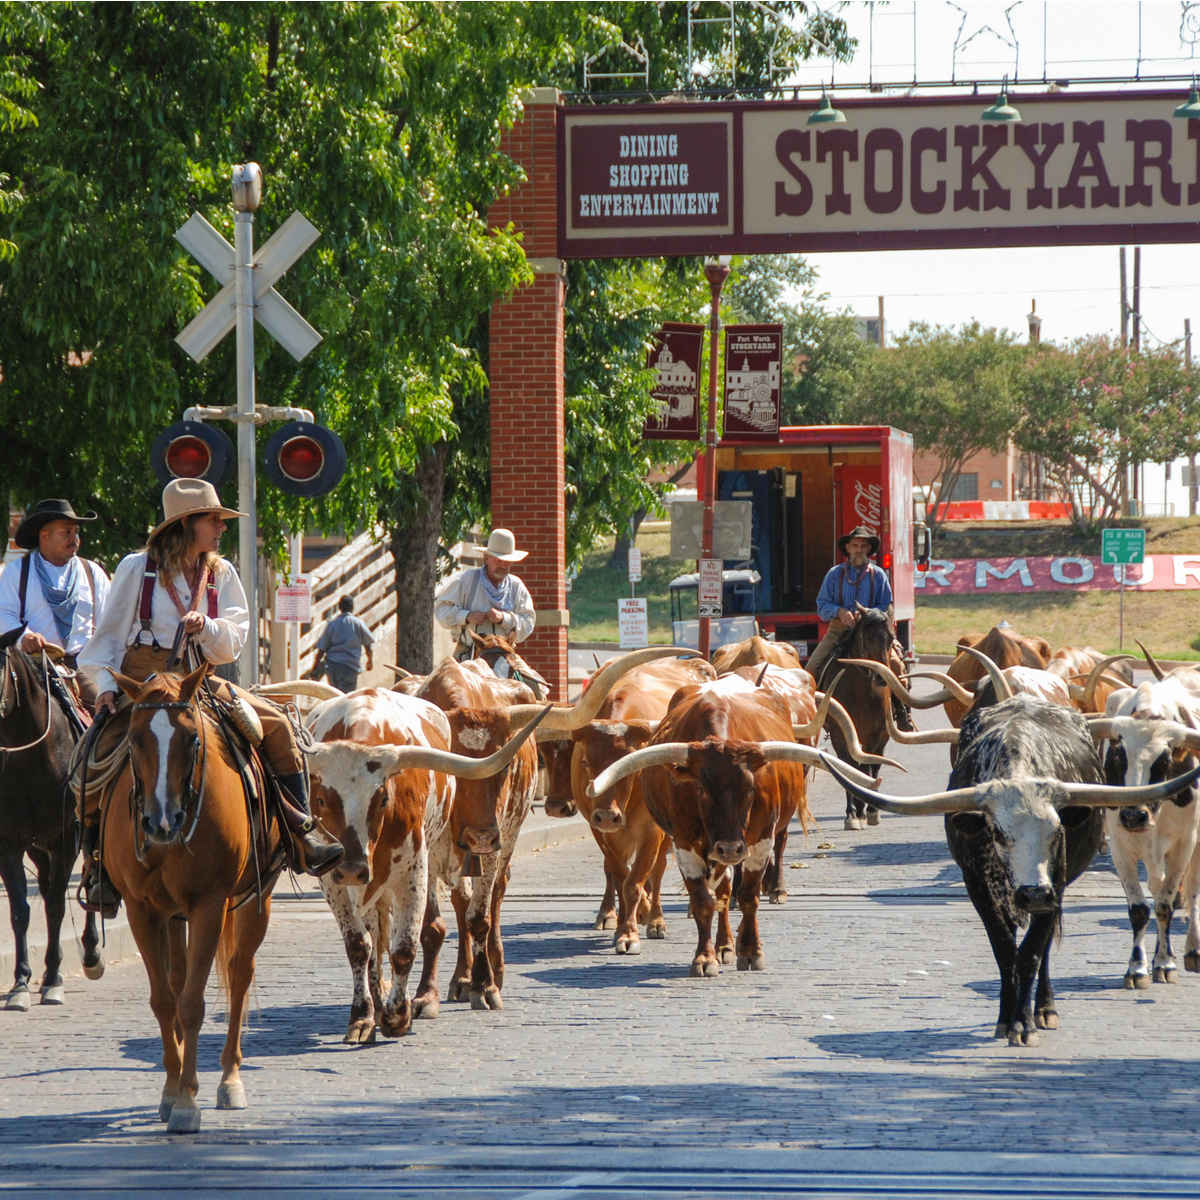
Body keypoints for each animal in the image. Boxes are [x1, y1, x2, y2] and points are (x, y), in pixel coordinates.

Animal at [0, 638, 102, 1012]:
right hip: (37, 847)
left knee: (90, 878)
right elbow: (20, 910)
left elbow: (58, 905)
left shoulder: (65, 840)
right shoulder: (9, 844)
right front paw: (20, 983)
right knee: (45, 887)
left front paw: (54, 981)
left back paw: (90, 954)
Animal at [100, 662, 283, 1128]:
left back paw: (230, 1078)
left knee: (239, 975)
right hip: (174, 916)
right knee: (181, 979)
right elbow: (166, 1000)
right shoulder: (142, 911)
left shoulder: (209, 905)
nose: (161, 822)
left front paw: (187, 1101)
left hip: (256, 899)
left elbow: (193, 1005)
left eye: (191, 738)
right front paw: (170, 1091)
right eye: (133, 738)